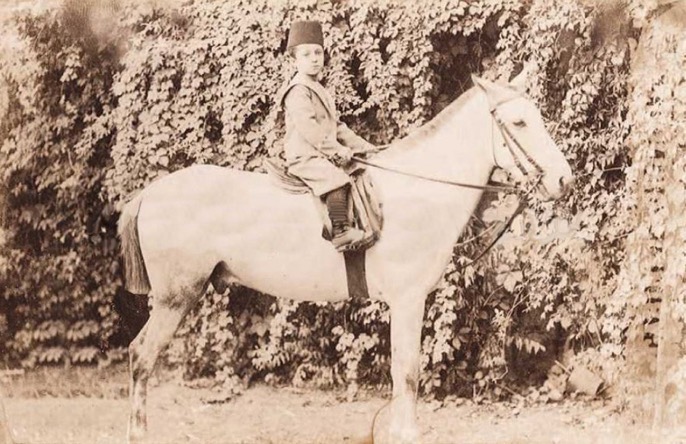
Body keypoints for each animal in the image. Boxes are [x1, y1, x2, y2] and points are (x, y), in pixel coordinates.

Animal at [118, 71, 576, 442]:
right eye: (519, 122)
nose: (563, 180)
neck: (417, 192)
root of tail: (149, 193)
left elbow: (404, 371)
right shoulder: (408, 301)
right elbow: (407, 372)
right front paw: (406, 434)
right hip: (175, 298)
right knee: (141, 355)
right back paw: (138, 433)